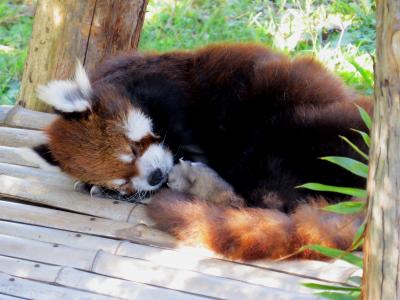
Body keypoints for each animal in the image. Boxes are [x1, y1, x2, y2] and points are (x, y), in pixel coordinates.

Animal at [26, 44, 372, 260]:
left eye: (134, 148)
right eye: (122, 181)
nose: (156, 176)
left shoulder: (173, 95)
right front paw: (97, 187)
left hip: (311, 123)